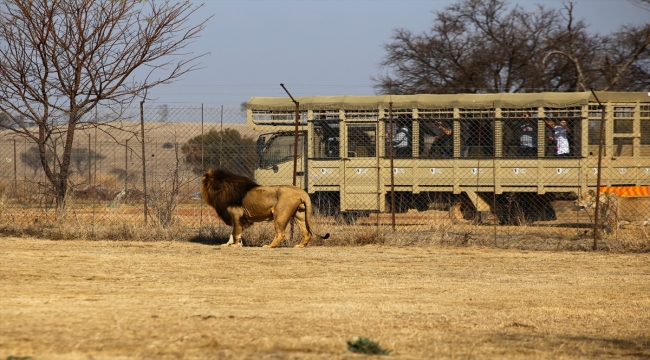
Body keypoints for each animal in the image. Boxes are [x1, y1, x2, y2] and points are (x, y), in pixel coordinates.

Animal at [199, 168, 330, 248]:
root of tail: (301, 191)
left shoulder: (236, 215)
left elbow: (236, 232)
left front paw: (236, 245)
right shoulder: (238, 218)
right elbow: (233, 233)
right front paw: (228, 244)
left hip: (280, 215)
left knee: (281, 234)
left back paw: (269, 246)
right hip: (300, 215)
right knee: (307, 233)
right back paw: (299, 246)